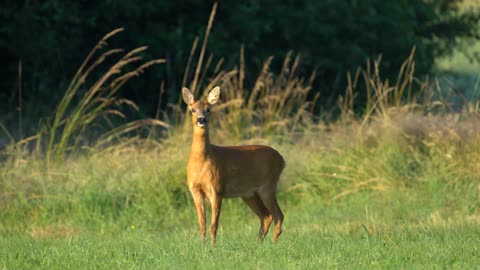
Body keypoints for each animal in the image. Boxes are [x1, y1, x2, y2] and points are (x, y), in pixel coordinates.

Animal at [182, 86, 284, 245]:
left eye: (209, 109)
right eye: (193, 109)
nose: (201, 120)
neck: (201, 163)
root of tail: (282, 160)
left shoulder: (217, 189)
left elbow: (214, 225)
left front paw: (212, 247)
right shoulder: (195, 190)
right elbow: (202, 224)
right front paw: (202, 246)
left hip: (268, 185)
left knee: (278, 215)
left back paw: (273, 244)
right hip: (249, 194)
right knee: (266, 216)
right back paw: (258, 243)